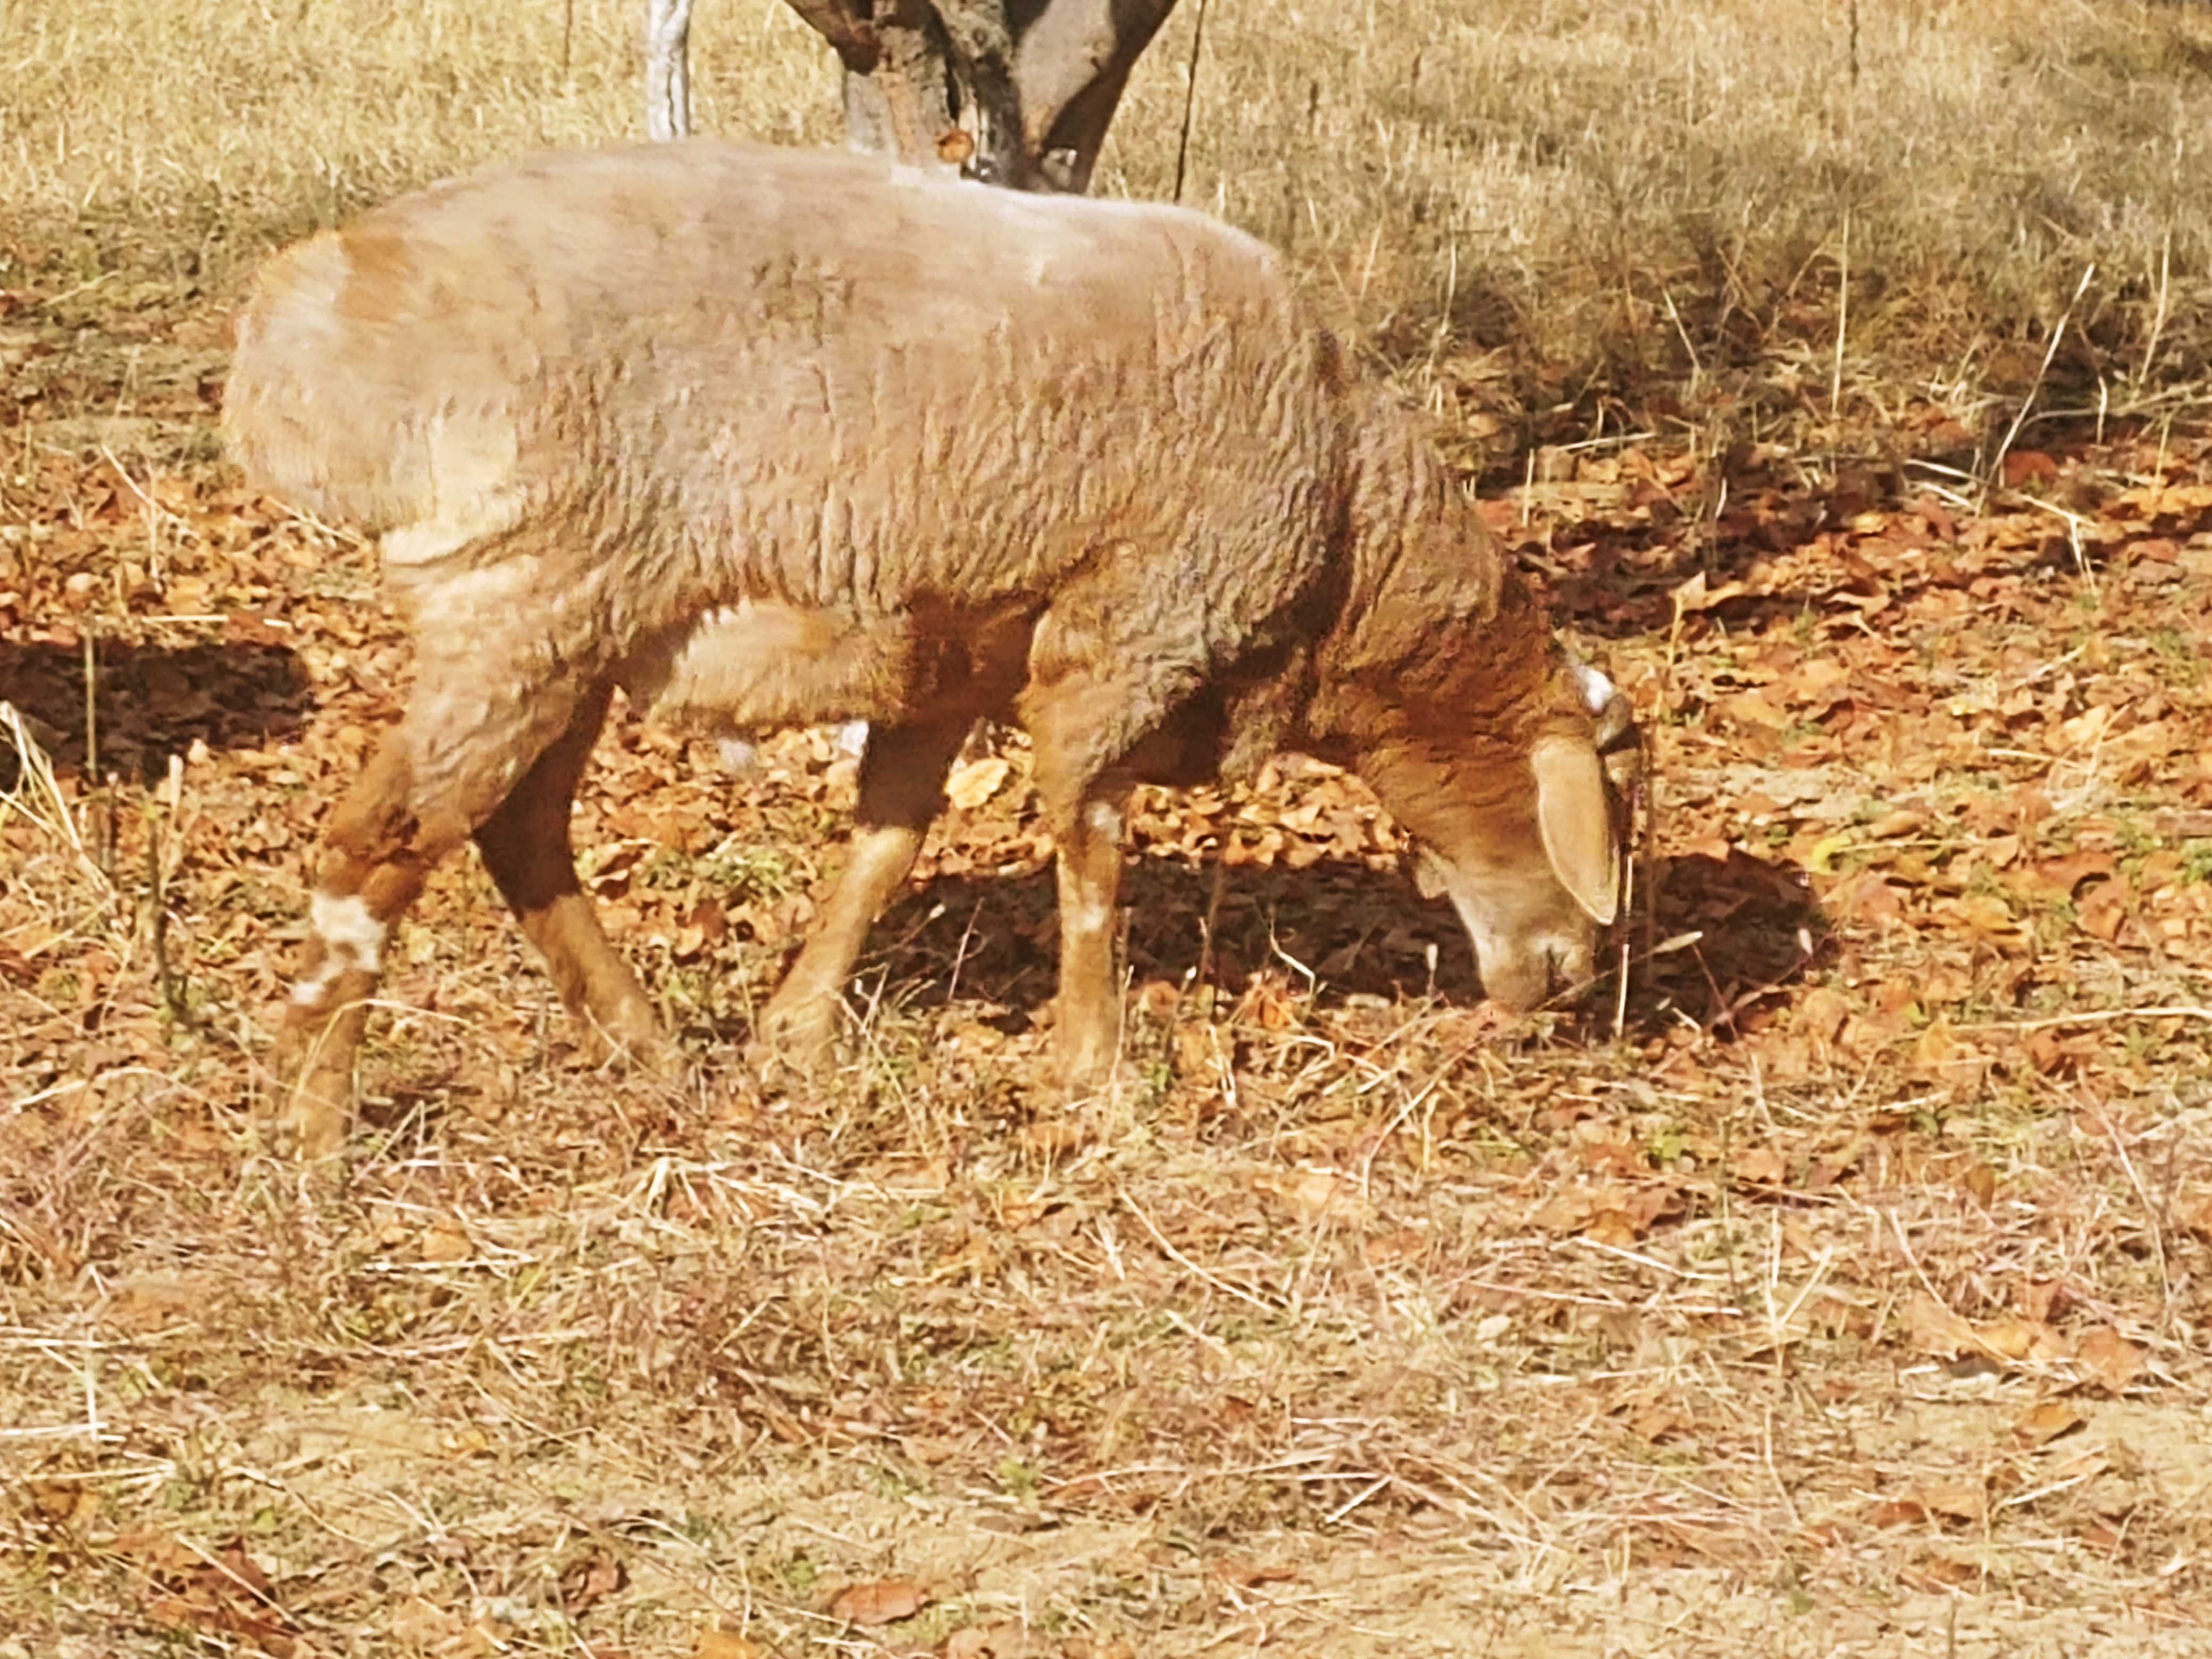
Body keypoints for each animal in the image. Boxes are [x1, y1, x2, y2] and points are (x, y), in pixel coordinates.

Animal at [224, 140, 1646, 1159]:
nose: (1568, 984)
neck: (1352, 531)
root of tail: (294, 328)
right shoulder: (1127, 637)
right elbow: (1091, 851)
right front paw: (1093, 1073)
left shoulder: (949, 655)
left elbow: (887, 842)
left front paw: (794, 1037)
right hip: (517, 594)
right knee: (381, 839)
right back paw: (312, 1123)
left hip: (577, 622)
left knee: (517, 830)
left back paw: (643, 1046)